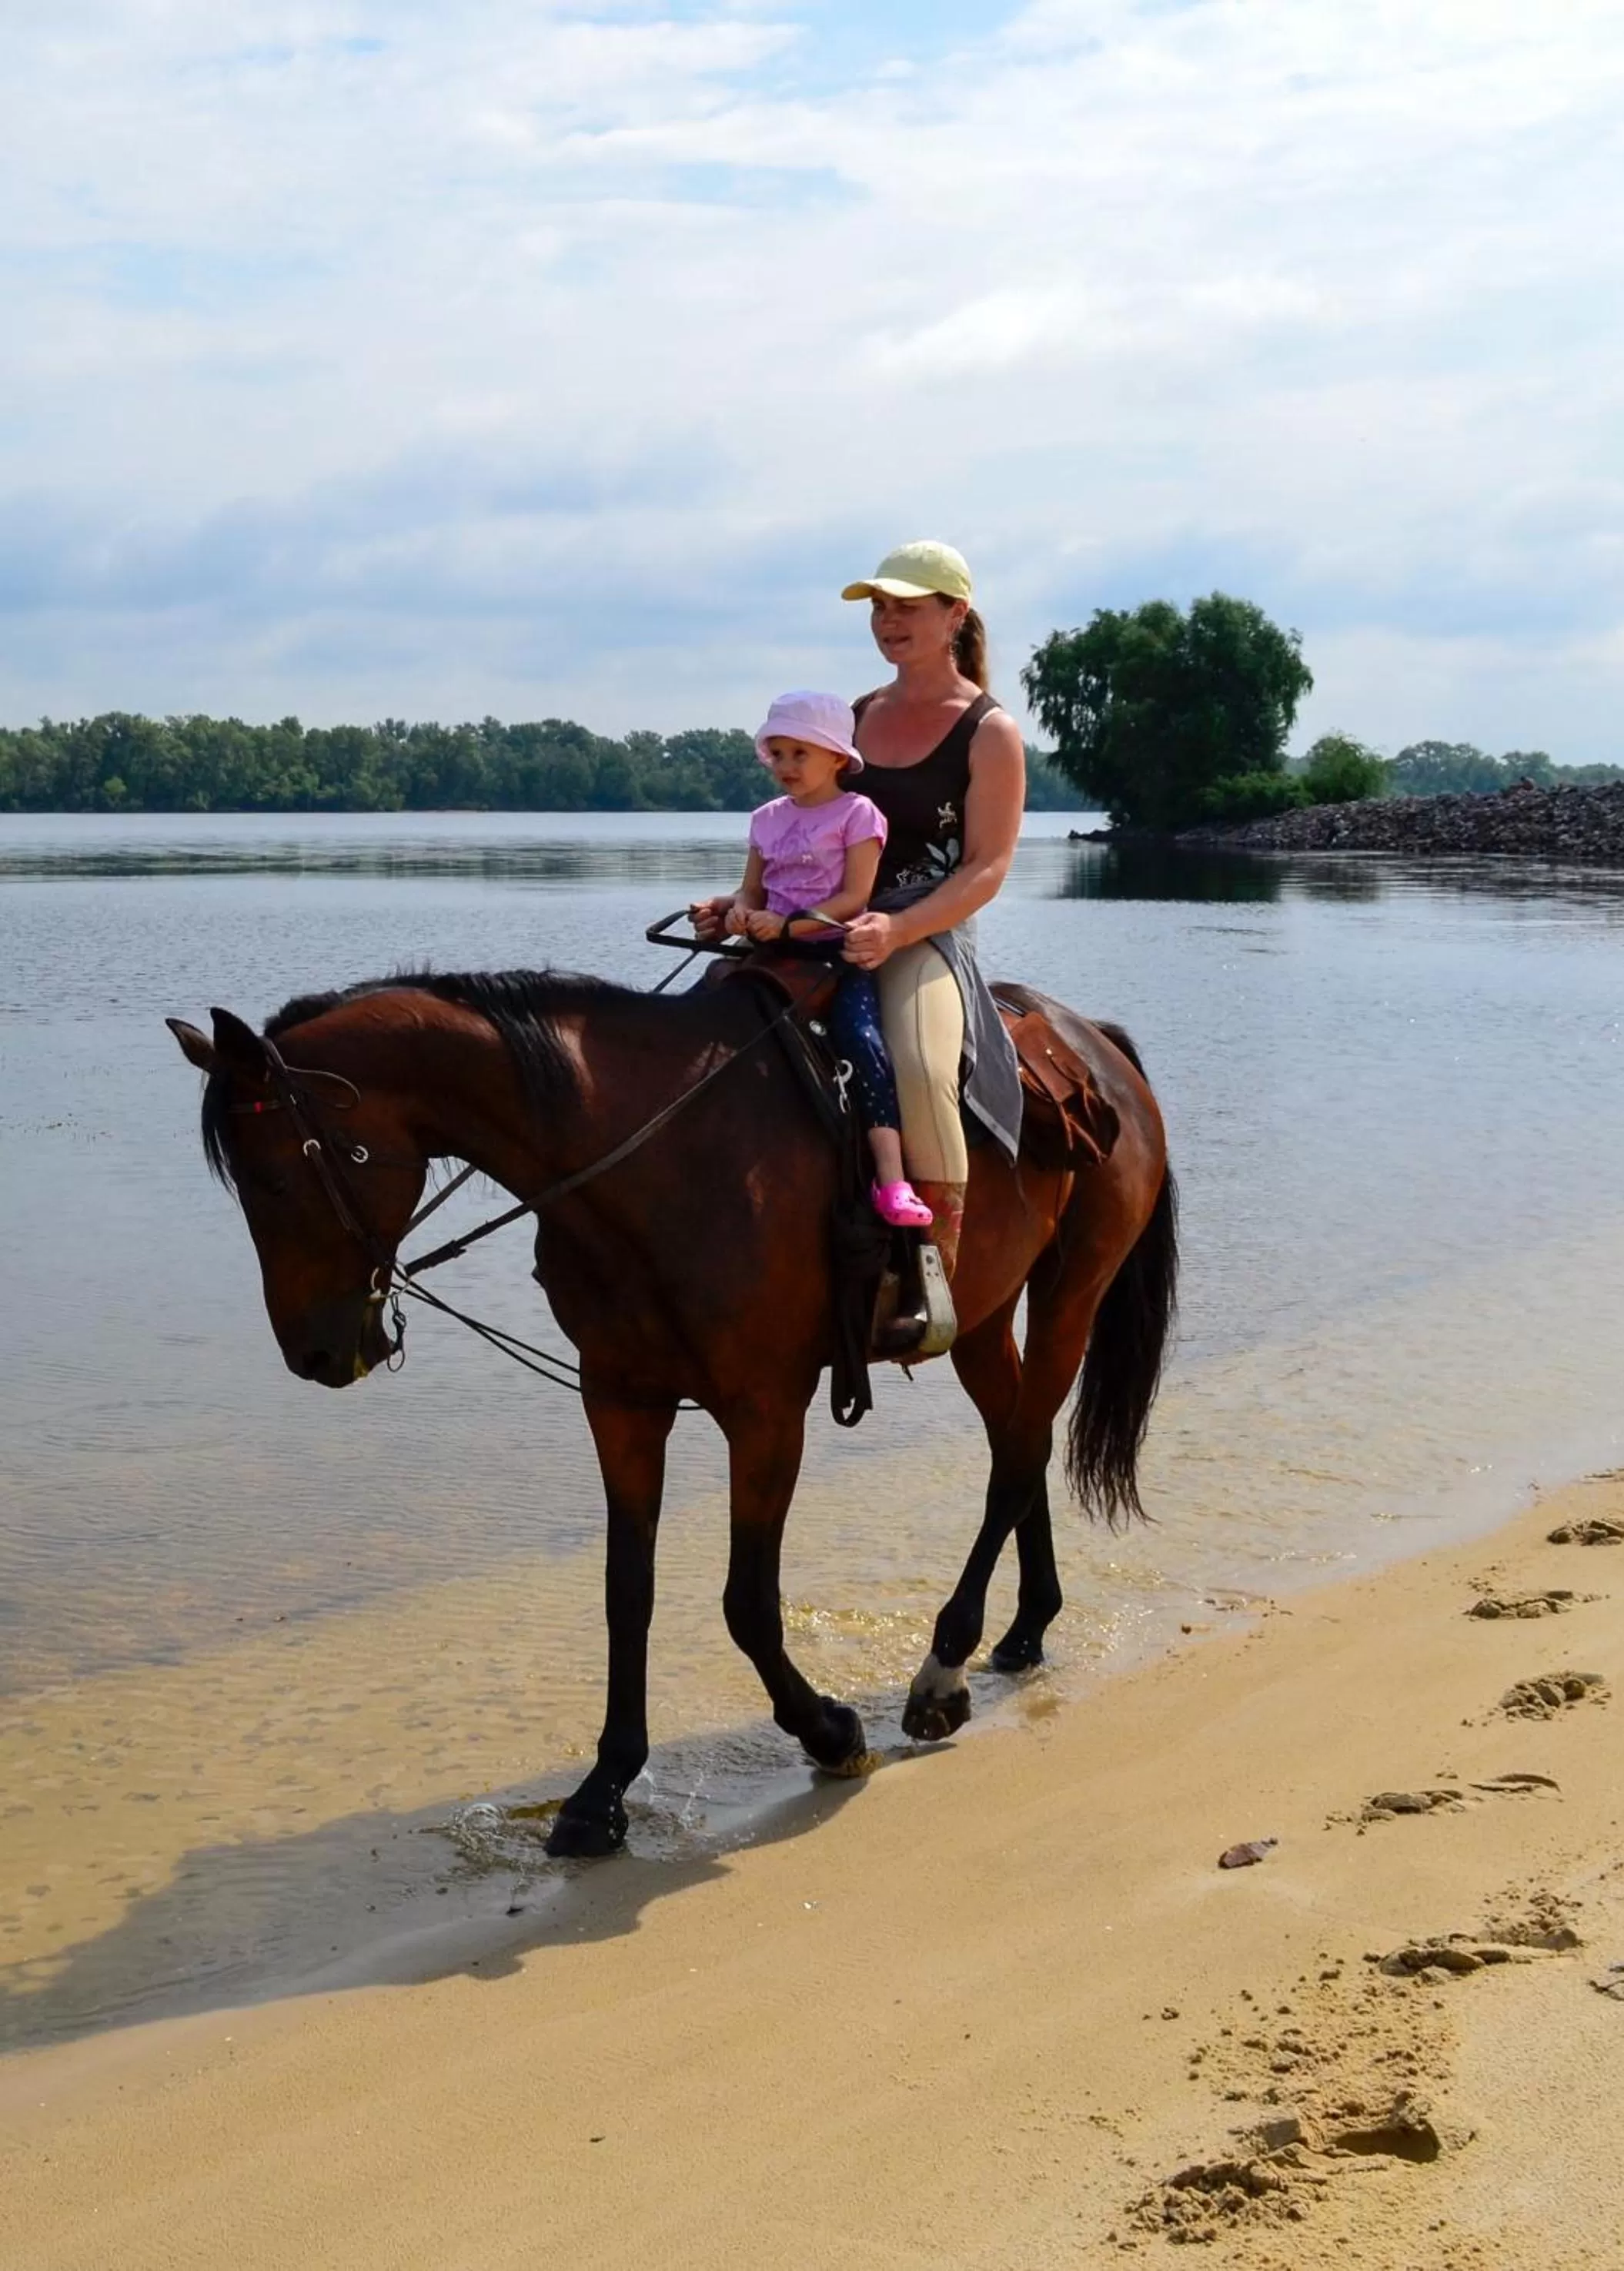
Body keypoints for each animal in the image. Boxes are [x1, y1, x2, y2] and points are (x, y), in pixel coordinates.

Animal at [168, 965, 1177, 1856]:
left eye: (274, 1179)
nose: (313, 1354)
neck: (653, 1160)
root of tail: (1093, 1041)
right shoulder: (621, 1399)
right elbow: (628, 1593)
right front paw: (603, 1791)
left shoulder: (766, 1409)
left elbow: (747, 1603)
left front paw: (828, 1731)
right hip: (983, 1316)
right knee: (1019, 1442)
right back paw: (1023, 1630)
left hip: (1072, 1292)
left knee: (1019, 1453)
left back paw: (941, 1672)